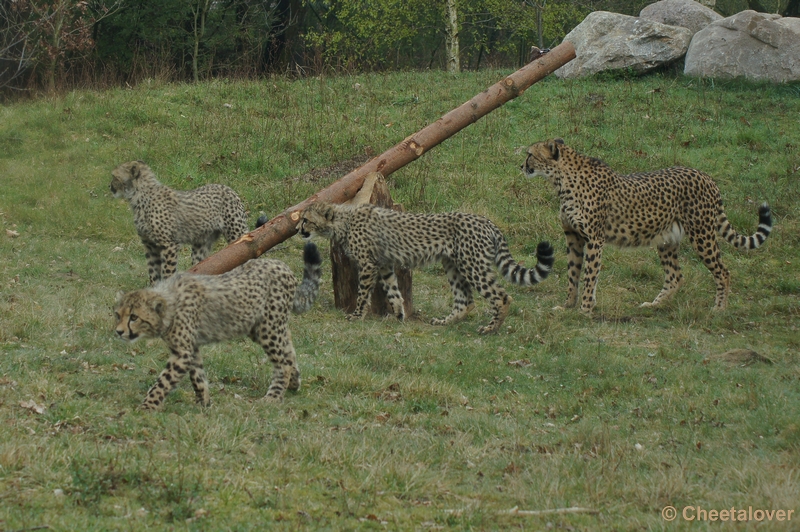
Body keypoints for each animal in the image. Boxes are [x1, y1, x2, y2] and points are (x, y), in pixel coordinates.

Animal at [109, 161, 247, 282]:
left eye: (114, 176)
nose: (109, 186)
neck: (139, 197)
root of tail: (228, 188)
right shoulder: (150, 245)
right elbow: (153, 272)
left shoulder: (169, 244)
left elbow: (167, 271)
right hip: (201, 243)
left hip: (236, 234)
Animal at [111, 242, 322, 412]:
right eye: (118, 315)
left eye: (134, 317)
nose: (119, 332)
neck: (169, 304)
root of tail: (282, 265)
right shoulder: (192, 348)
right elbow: (197, 377)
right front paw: (204, 403)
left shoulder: (182, 353)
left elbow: (163, 382)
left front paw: (146, 407)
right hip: (264, 325)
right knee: (289, 349)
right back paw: (294, 383)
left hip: (267, 328)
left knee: (283, 362)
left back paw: (274, 397)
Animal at [296, 202, 552, 334]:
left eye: (306, 219)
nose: (298, 229)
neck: (342, 221)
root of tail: (486, 220)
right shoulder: (385, 264)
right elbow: (393, 291)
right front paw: (399, 314)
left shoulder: (369, 264)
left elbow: (362, 294)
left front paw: (357, 315)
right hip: (453, 264)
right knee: (466, 301)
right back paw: (445, 322)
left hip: (472, 265)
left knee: (502, 297)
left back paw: (491, 328)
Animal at [520, 137, 772, 314]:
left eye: (530, 154)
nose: (521, 166)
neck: (562, 179)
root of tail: (705, 175)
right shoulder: (573, 237)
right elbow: (573, 273)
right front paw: (568, 307)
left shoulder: (594, 239)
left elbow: (590, 275)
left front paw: (585, 309)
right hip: (667, 239)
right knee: (675, 276)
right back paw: (655, 305)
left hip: (702, 235)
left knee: (723, 271)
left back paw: (719, 308)